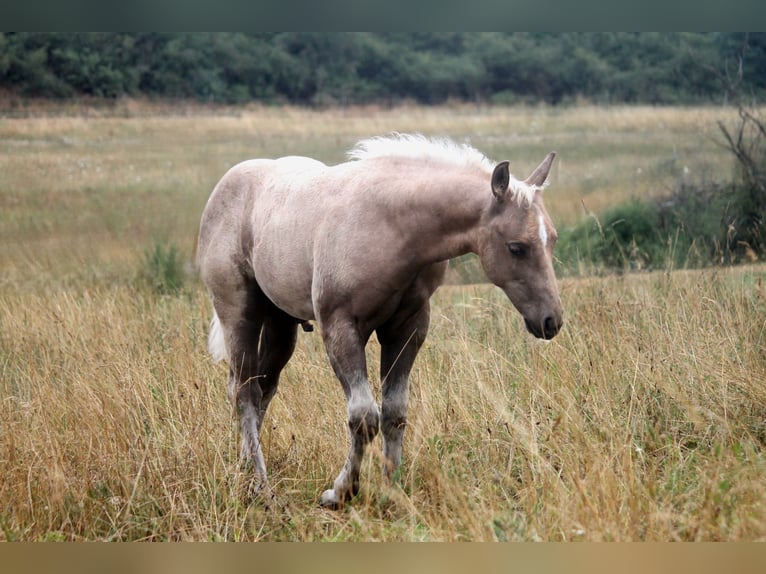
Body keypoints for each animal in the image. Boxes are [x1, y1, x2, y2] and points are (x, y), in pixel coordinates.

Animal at [196, 133, 563, 508]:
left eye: (552, 239)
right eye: (516, 247)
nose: (551, 320)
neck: (391, 224)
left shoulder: (407, 329)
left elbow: (394, 413)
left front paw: (391, 489)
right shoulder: (340, 328)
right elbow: (363, 416)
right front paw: (340, 491)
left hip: (280, 324)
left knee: (262, 389)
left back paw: (244, 471)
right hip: (239, 313)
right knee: (244, 391)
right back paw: (261, 487)